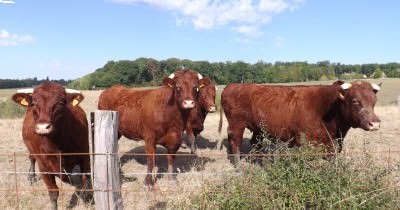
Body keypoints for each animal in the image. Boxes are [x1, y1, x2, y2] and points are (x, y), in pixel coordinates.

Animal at [11, 82, 93, 210]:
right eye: (33, 103)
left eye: (60, 103)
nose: (43, 127)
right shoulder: (43, 166)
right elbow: (53, 193)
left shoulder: (85, 156)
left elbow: (85, 181)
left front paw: (88, 201)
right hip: (31, 149)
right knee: (31, 159)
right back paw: (31, 177)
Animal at [219, 80, 382, 164]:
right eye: (355, 101)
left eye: (374, 101)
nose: (374, 124)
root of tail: (233, 85)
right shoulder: (305, 141)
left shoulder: (332, 145)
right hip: (237, 124)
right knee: (235, 142)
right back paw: (238, 166)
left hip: (257, 128)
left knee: (254, 143)